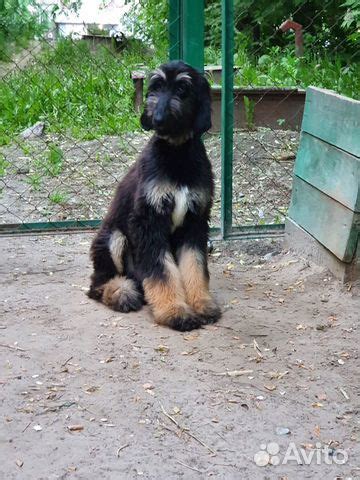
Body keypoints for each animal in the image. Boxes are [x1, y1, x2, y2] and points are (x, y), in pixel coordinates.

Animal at [88, 59, 221, 330]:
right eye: (156, 87)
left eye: (181, 89)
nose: (156, 118)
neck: (176, 155)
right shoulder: (148, 222)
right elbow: (161, 272)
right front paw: (174, 311)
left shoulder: (195, 223)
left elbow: (195, 266)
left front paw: (202, 303)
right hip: (113, 237)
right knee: (98, 283)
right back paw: (121, 292)